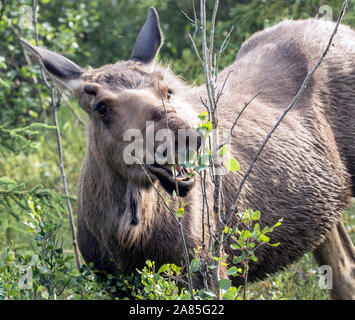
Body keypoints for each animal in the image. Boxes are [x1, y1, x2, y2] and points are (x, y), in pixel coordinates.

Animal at [22, 6, 355, 298]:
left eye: (166, 89)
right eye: (100, 107)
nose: (188, 137)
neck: (124, 236)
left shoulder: (208, 270)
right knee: (343, 271)